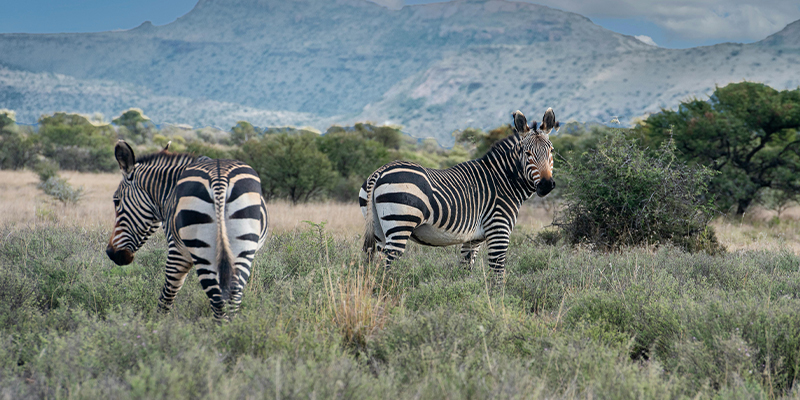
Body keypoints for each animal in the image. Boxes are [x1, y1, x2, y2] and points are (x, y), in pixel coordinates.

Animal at [104, 139, 268, 320]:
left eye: (116, 201)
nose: (111, 253)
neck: (168, 191)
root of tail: (220, 181)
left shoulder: (177, 252)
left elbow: (166, 296)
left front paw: (157, 324)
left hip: (202, 252)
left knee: (218, 302)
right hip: (242, 250)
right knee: (233, 300)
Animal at [360, 108, 560, 280]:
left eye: (551, 151)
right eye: (527, 153)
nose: (546, 185)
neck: (503, 180)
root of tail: (379, 172)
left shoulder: (473, 240)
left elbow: (465, 270)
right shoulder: (498, 230)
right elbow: (498, 274)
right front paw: (498, 298)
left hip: (377, 229)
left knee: (376, 267)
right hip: (400, 224)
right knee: (388, 267)